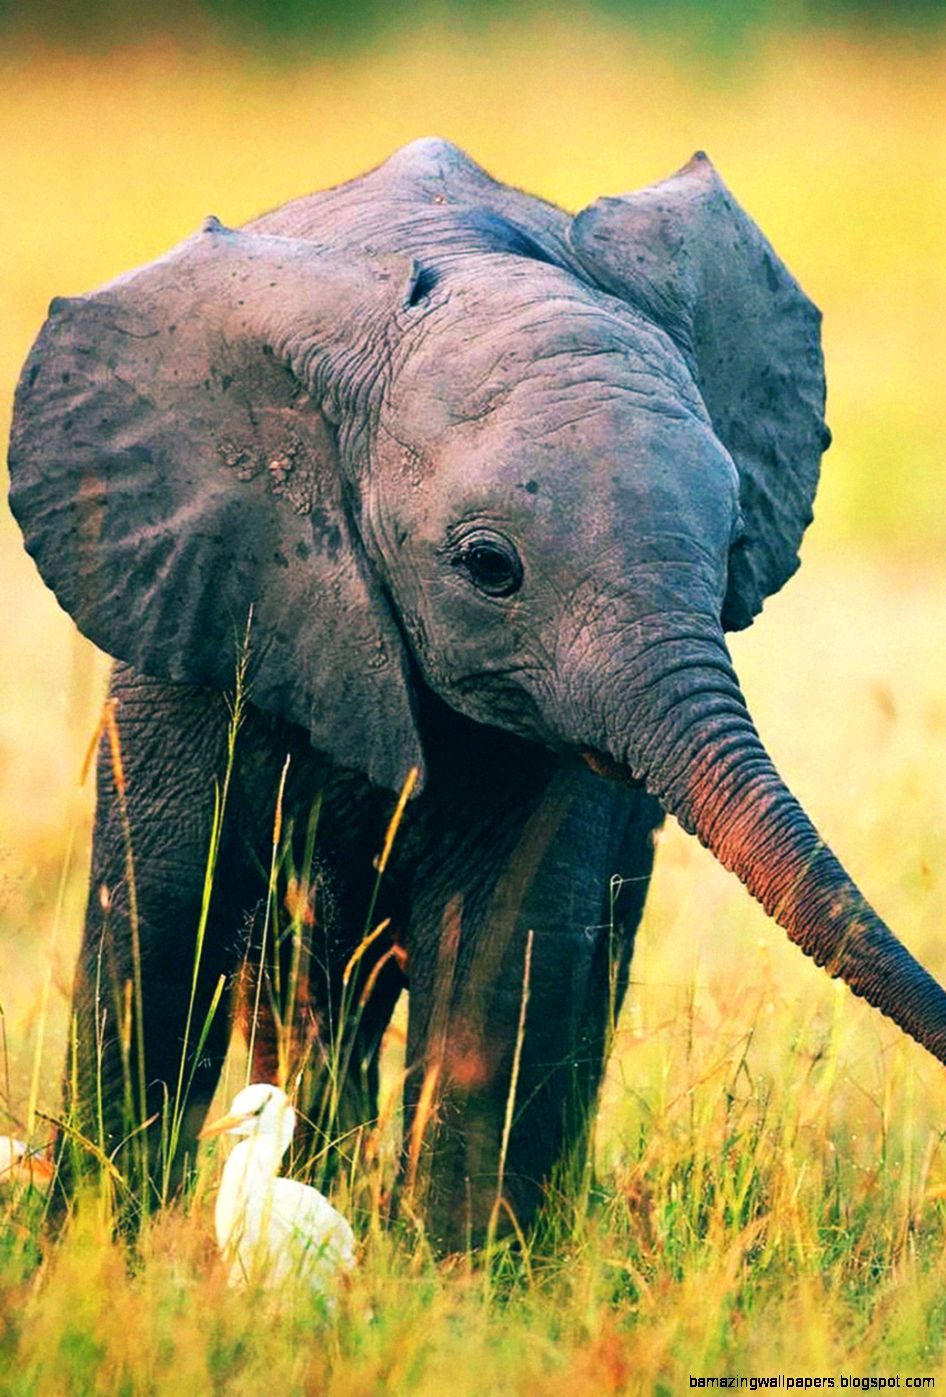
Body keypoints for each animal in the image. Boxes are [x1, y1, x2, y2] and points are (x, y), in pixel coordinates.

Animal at [8, 137, 946, 1249]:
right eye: (489, 566)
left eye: (730, 551)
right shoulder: (194, 589)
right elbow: (161, 916)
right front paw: (92, 1255)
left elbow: (510, 938)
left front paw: (458, 1276)